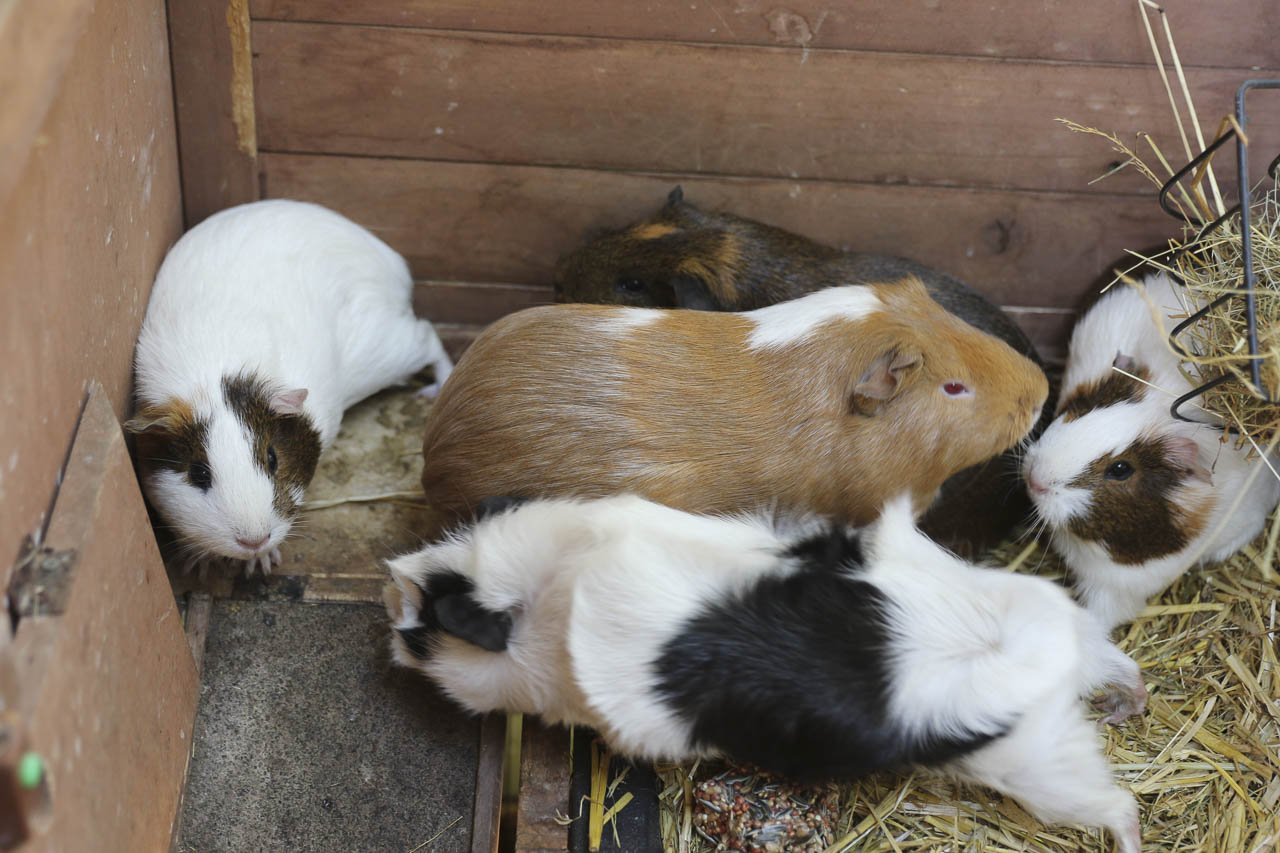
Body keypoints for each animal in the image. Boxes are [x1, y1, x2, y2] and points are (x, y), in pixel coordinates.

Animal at [127, 199, 454, 575]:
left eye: (272, 459)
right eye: (198, 473)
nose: (253, 541)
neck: (213, 382)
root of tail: (383, 255)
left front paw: (262, 565)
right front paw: (203, 565)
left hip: (387, 349)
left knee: (429, 338)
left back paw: (434, 389)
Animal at [384, 493, 1145, 853]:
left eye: (431, 621)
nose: (389, 599)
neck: (550, 596)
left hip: (1045, 773)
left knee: (1120, 806)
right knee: (1120, 663)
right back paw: (1127, 702)